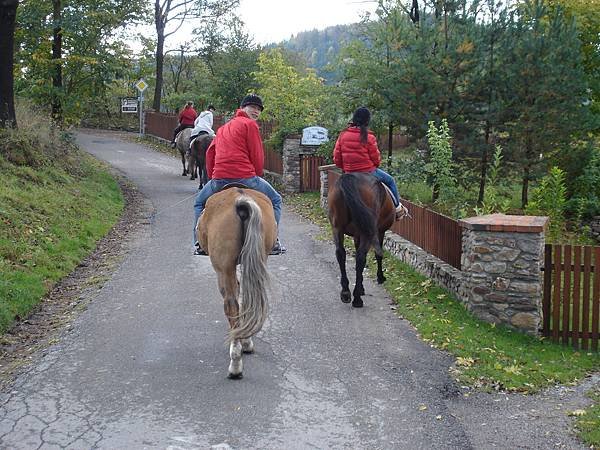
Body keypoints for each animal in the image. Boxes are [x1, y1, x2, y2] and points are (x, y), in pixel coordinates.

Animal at [326, 171, 396, 308]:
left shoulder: (357, 234)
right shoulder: (379, 232)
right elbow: (378, 255)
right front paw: (380, 277)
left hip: (337, 227)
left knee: (341, 253)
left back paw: (346, 293)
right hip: (367, 232)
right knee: (361, 257)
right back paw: (357, 298)